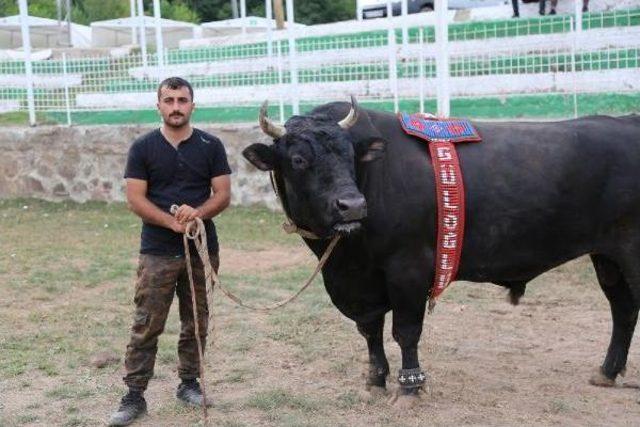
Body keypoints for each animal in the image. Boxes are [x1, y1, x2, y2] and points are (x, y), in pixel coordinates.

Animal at [242, 98, 640, 400]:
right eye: (298, 160)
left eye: (349, 155)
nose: (352, 205)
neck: (345, 259)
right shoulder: (360, 282)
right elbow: (370, 330)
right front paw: (375, 380)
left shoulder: (408, 268)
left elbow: (406, 330)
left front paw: (410, 387)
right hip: (608, 259)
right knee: (623, 309)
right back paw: (607, 372)